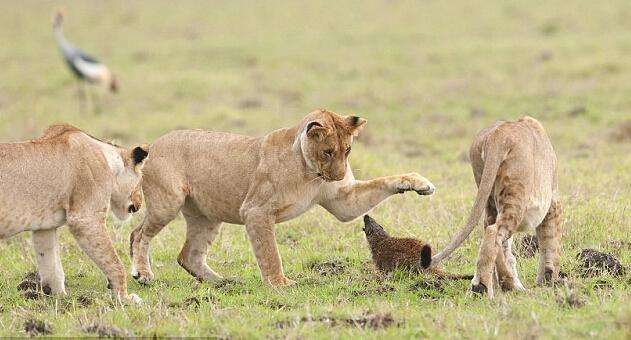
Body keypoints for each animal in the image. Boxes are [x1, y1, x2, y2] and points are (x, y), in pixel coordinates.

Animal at [0, 124, 149, 302]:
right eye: (141, 182)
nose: (140, 204)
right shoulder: (85, 218)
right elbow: (114, 262)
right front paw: (124, 298)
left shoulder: (44, 228)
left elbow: (52, 266)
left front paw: (60, 297)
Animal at [128, 109, 434, 286]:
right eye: (327, 151)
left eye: (347, 150)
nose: (338, 176)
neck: (310, 173)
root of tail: (154, 143)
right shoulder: (256, 211)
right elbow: (270, 252)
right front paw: (279, 283)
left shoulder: (343, 201)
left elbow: (384, 182)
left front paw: (419, 183)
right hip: (167, 203)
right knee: (138, 234)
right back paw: (143, 274)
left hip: (207, 216)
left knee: (188, 255)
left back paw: (223, 282)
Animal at [430, 117, 564, 298]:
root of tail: (497, 135)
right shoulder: (553, 204)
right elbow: (550, 243)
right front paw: (549, 280)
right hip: (516, 196)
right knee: (494, 233)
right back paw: (482, 288)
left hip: (489, 197)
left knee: (493, 232)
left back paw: (505, 284)